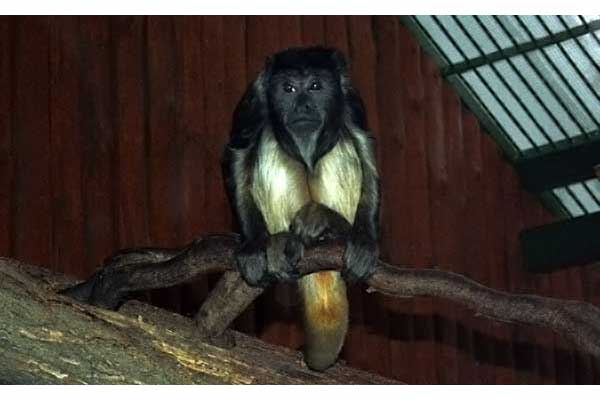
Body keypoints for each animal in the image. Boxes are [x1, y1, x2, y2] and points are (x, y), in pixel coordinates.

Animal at [220, 47, 380, 372]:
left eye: (316, 86)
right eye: (289, 88)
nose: (302, 105)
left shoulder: (352, 97)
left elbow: (363, 145)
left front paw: (365, 240)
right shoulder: (254, 97)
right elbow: (240, 150)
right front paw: (253, 245)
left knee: (340, 144)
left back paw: (332, 227)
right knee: (269, 142)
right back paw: (285, 240)